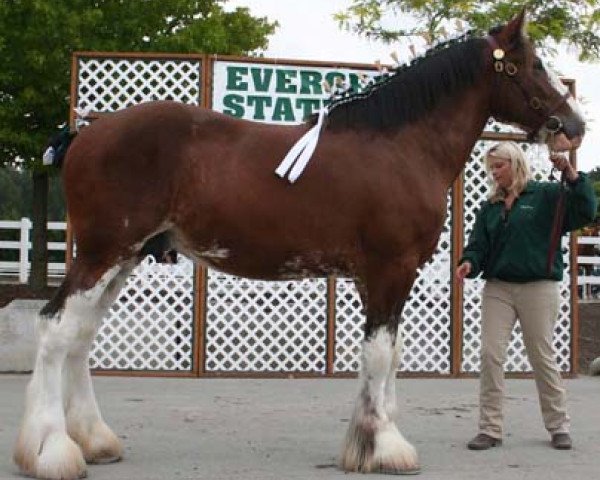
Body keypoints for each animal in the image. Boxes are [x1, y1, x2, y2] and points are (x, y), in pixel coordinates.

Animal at [12, 11, 584, 480]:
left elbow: (384, 356)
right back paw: (51, 452)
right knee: (57, 329)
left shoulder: (375, 276)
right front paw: (387, 448)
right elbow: (380, 354)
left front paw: (365, 443)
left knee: (80, 336)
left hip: (123, 258)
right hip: (103, 253)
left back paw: (94, 441)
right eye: (534, 64)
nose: (574, 127)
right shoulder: (391, 268)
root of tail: (88, 133)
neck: (401, 147)